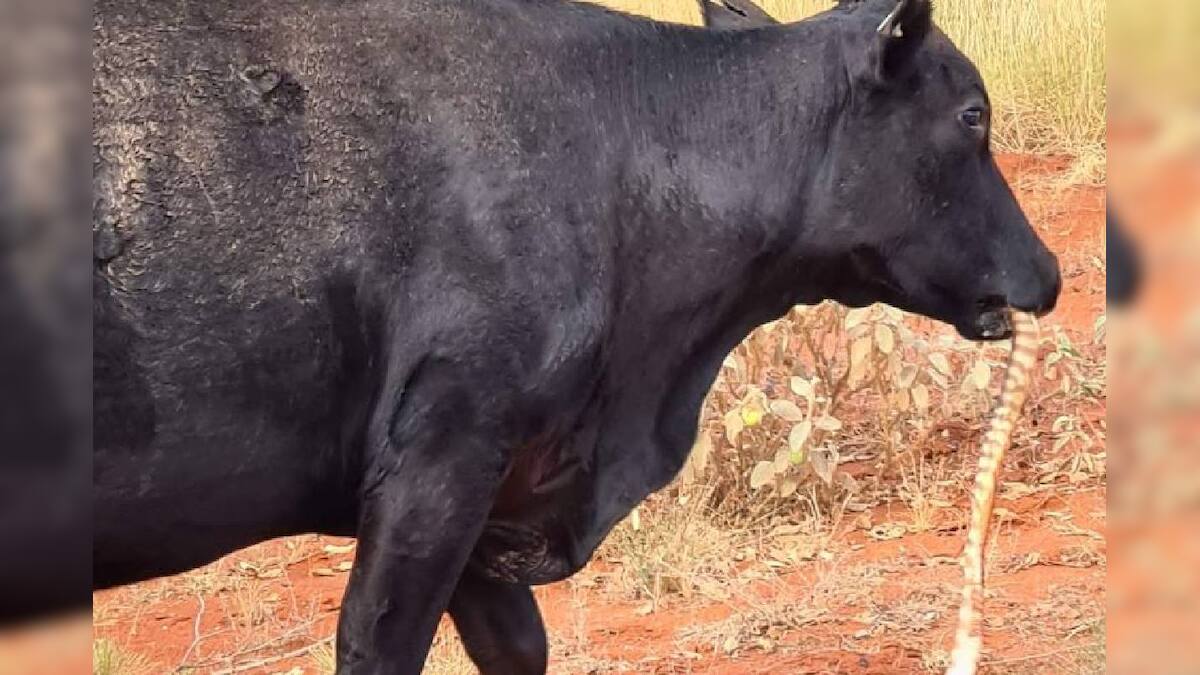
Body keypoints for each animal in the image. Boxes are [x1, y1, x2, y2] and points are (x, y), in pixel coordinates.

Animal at [92, 0, 1061, 672]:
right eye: (972, 115)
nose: (1049, 272)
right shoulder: (441, 457)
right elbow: (377, 643)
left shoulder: (492, 496)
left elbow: (520, 646)